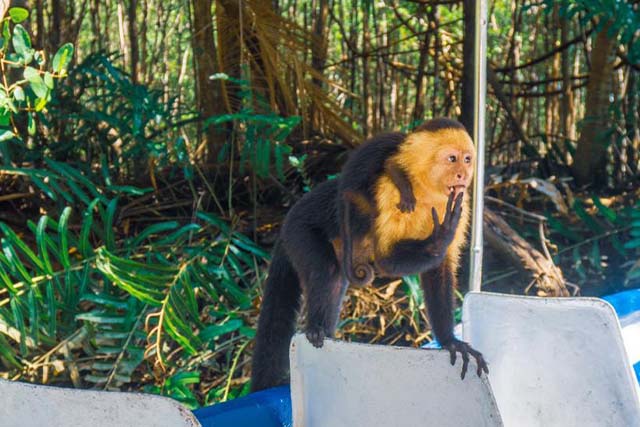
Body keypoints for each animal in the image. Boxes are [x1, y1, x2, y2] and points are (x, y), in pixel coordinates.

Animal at [250, 118, 487, 393]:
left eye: (467, 159)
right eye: (452, 159)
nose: (463, 174)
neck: (426, 191)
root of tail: (285, 222)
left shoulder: (462, 200)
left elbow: (439, 269)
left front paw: (450, 341)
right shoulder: (390, 193)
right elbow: (385, 260)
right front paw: (441, 236)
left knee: (335, 282)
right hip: (300, 230)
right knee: (325, 270)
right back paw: (316, 329)